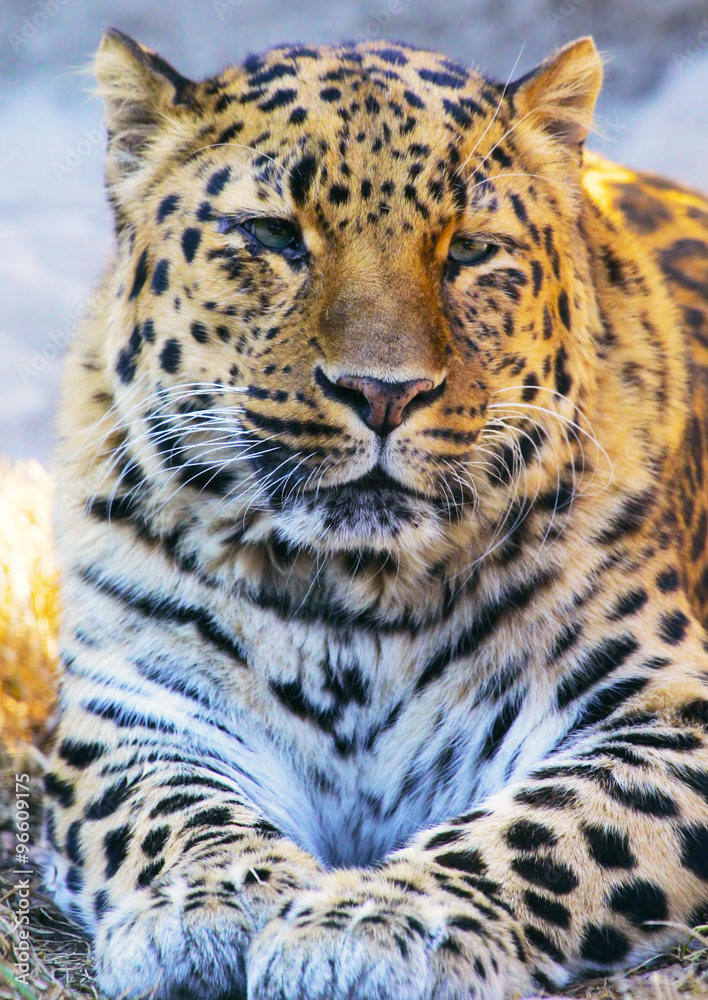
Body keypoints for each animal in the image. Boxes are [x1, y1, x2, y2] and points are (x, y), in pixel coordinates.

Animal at [41, 26, 708, 1000]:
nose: (383, 393)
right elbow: (172, 808)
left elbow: (542, 829)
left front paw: (376, 923)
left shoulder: (667, 711)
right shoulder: (137, 701)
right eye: (273, 235)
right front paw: (210, 903)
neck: (357, 601)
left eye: (469, 250)